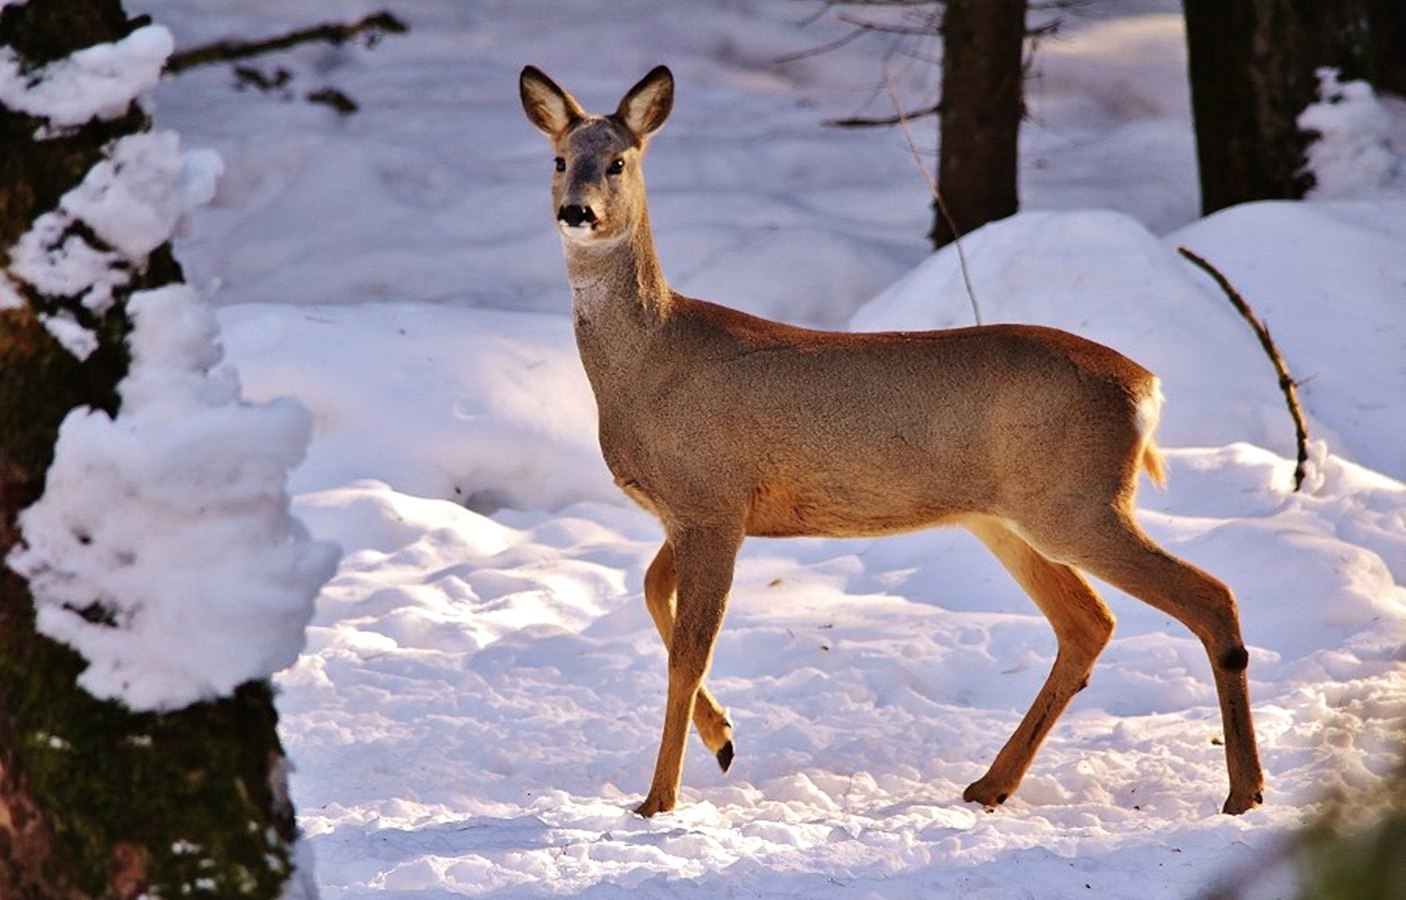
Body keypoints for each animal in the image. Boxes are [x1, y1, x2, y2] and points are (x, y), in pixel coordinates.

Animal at [523, 63, 1271, 821]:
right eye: (558, 160)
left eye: (618, 162)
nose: (577, 211)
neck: (649, 361)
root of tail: (1146, 386)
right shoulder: (695, 511)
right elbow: (652, 594)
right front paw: (723, 738)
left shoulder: (712, 503)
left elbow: (688, 653)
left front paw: (659, 800)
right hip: (1008, 518)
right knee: (1088, 623)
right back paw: (990, 784)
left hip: (1077, 503)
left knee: (1211, 596)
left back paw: (1244, 791)